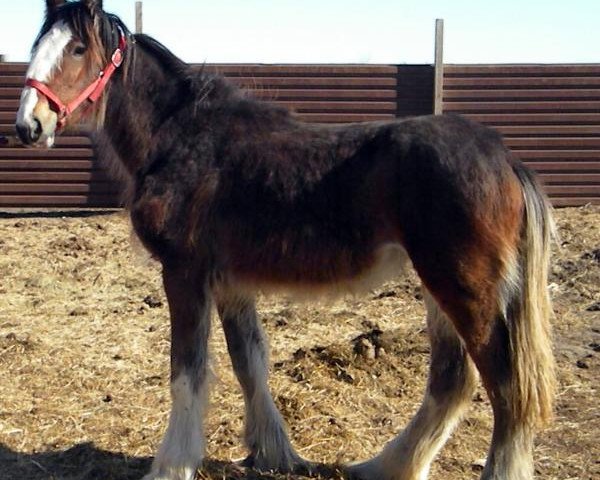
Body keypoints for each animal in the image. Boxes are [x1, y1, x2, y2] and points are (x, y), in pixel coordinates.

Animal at [15, 0, 556, 480]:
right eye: (37, 45)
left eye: (78, 48)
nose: (28, 125)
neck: (183, 138)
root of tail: (506, 158)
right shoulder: (231, 284)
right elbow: (249, 363)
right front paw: (272, 453)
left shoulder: (184, 274)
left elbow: (187, 372)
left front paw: (171, 465)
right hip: (441, 287)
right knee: (453, 379)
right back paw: (386, 466)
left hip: (464, 288)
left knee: (507, 386)